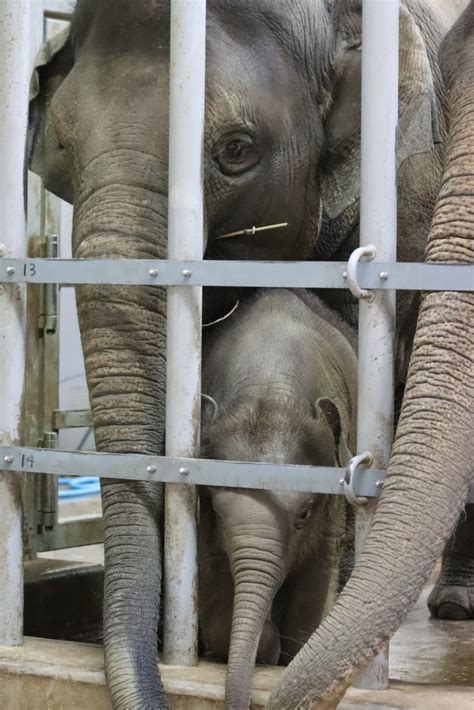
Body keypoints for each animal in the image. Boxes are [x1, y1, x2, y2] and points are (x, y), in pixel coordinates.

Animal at [198, 290, 358, 710]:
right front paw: (264, 646)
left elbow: (316, 580)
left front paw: (283, 655)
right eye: (217, 513)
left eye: (304, 514)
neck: (269, 392)